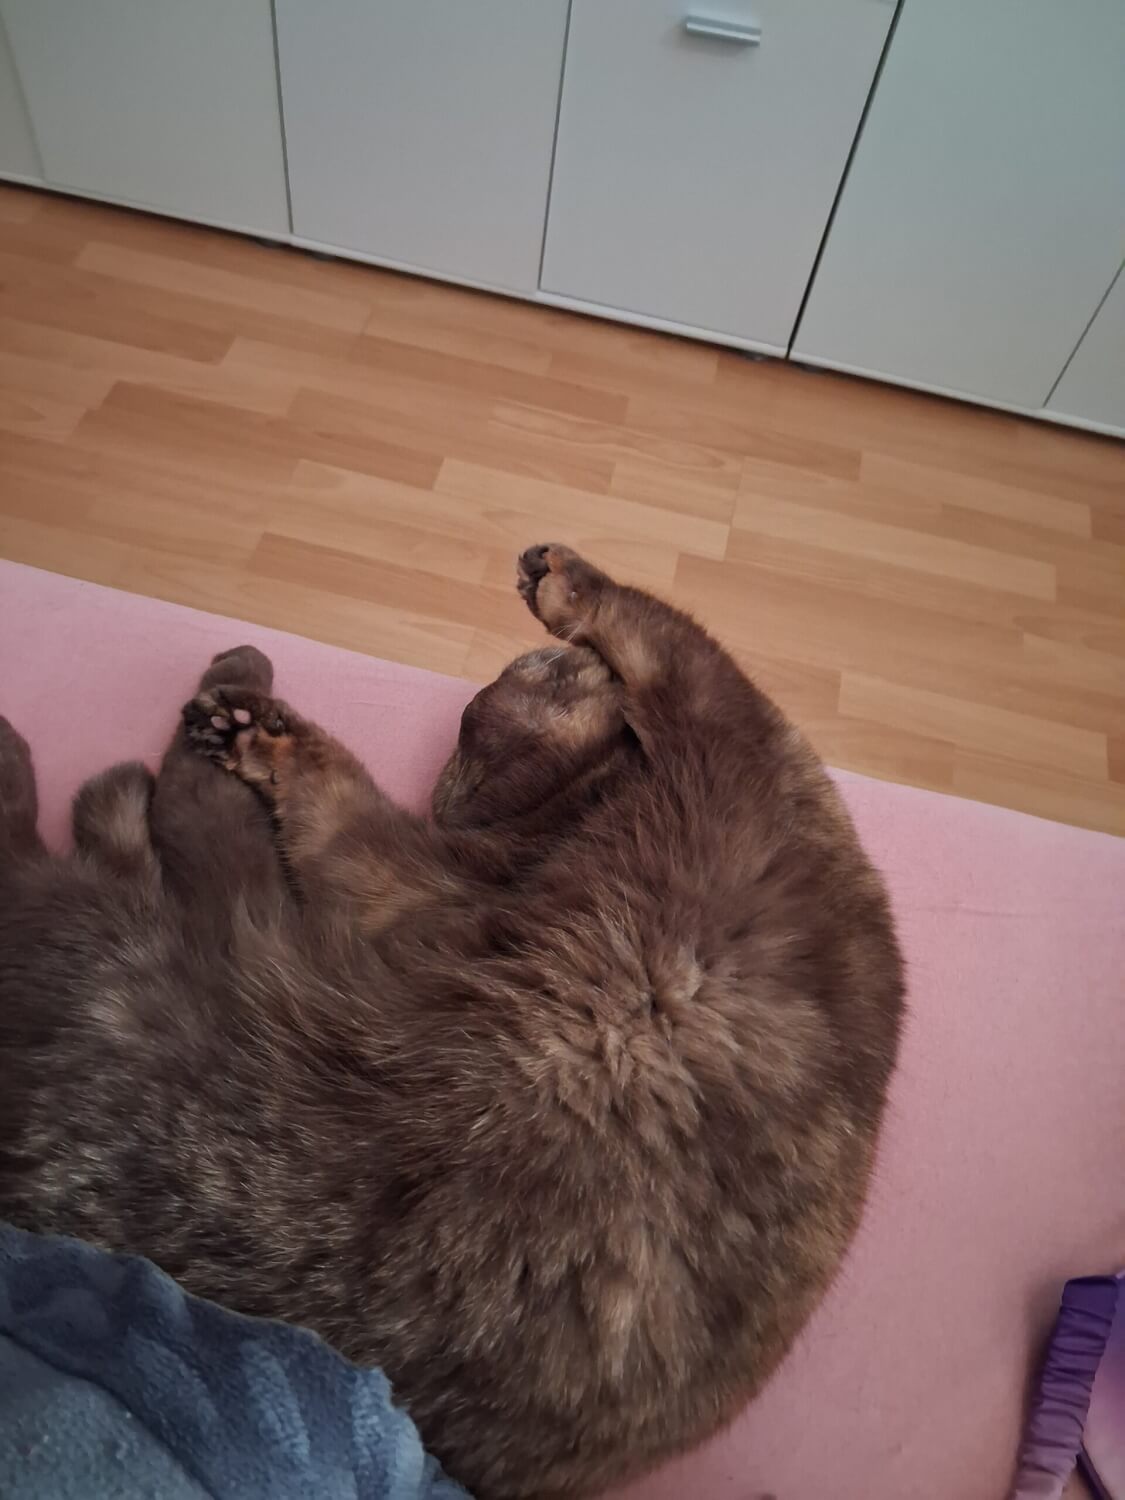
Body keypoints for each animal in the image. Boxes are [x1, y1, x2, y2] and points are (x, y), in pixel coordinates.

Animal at [0, 544, 904, 1500]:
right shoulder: (439, 866)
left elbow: (665, 638)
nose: (479, 702)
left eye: (485, 716)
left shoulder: (711, 753)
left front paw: (559, 581)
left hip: (146, 939)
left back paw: (173, 732)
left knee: (114, 829)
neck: (573, 814)